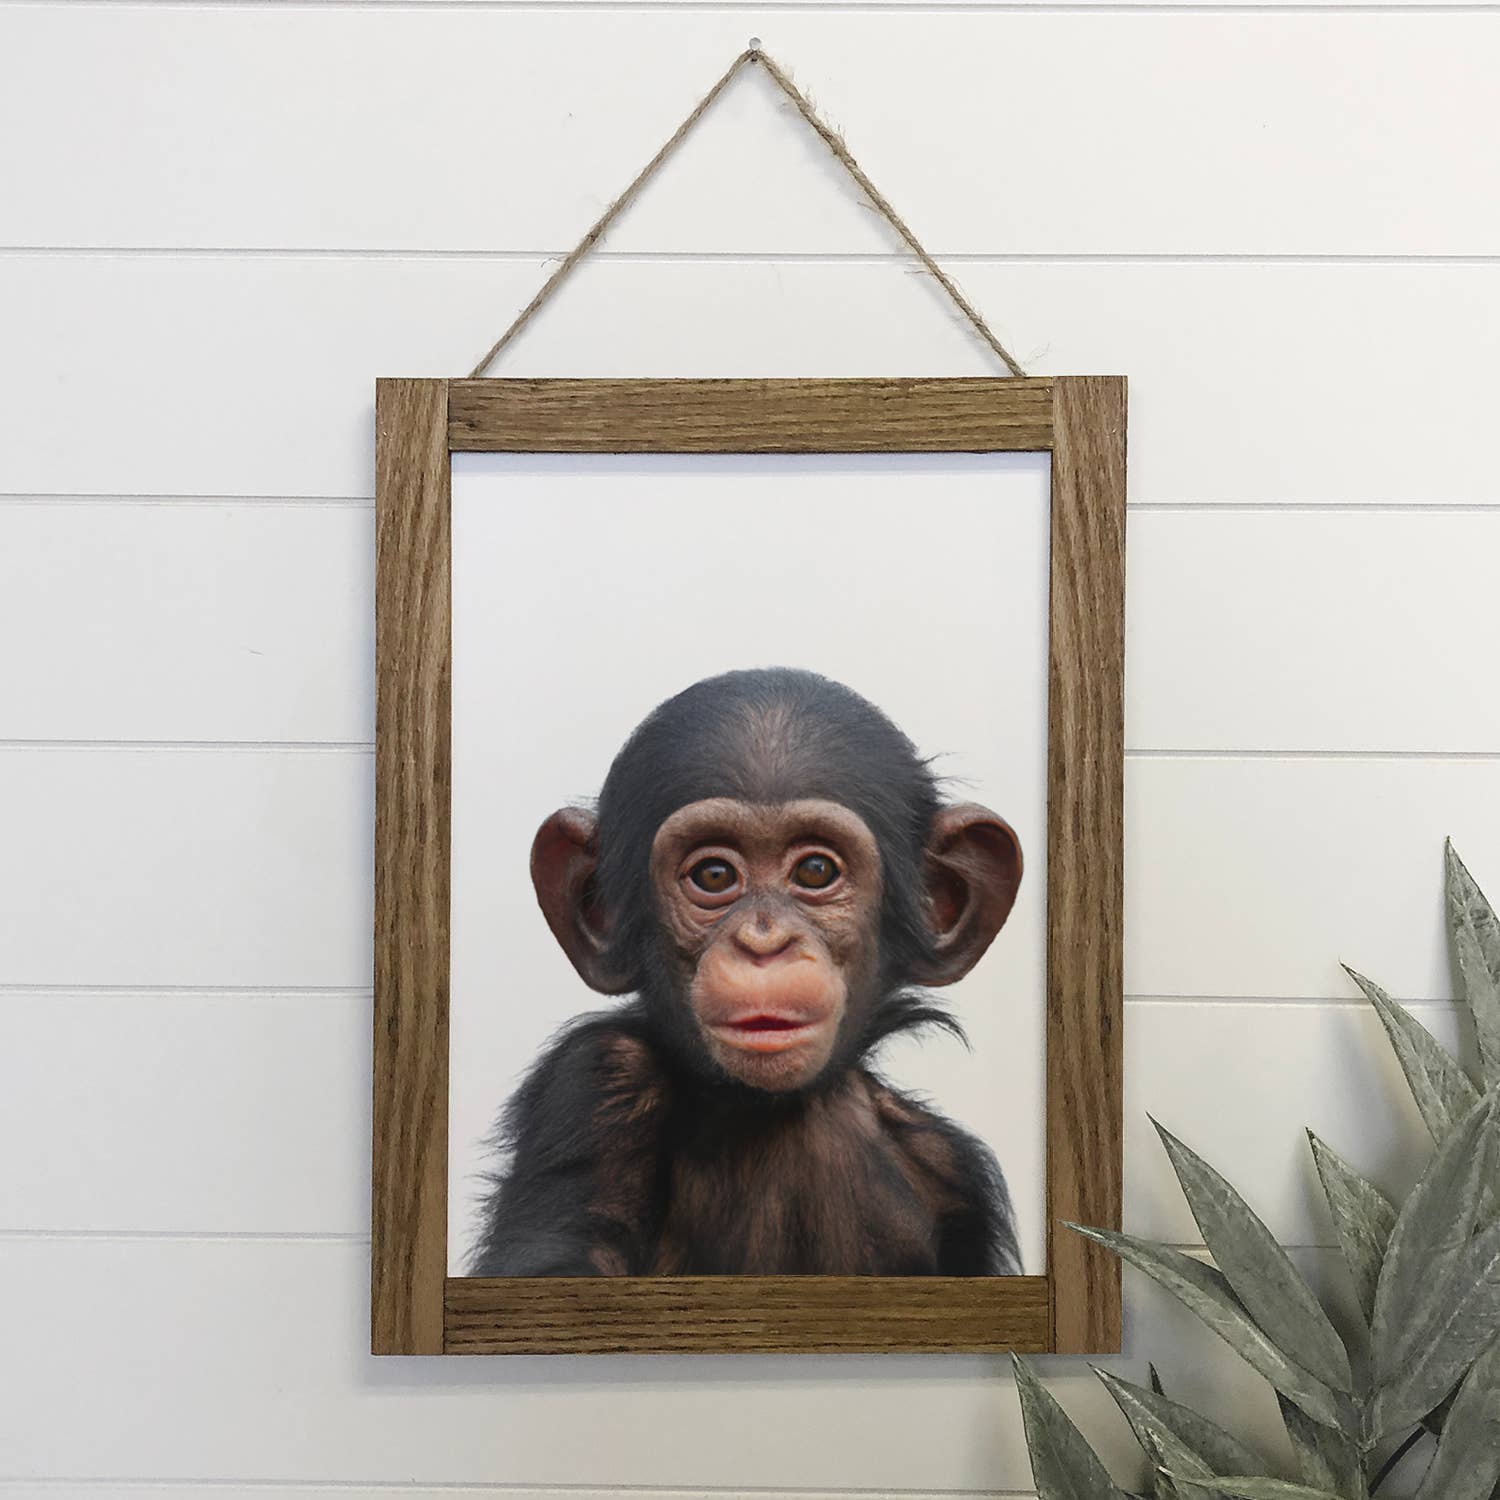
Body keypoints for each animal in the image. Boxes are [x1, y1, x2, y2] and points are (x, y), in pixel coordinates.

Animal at [469, 667, 1024, 1277]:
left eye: (815, 869)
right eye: (713, 875)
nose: (764, 941)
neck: (768, 1108)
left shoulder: (954, 1172)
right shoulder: (598, 1081)